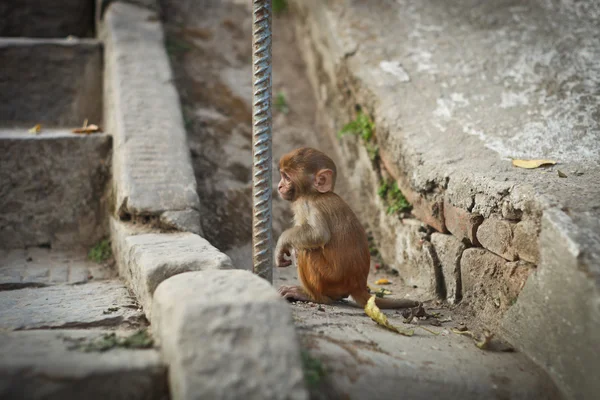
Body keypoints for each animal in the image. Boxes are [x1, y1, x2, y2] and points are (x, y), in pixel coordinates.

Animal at [276, 148, 418, 308]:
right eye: (282, 175)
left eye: (287, 177)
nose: (279, 186)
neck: (314, 193)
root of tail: (358, 285)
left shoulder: (307, 204)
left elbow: (319, 234)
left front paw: (282, 243)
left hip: (330, 279)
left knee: (305, 250)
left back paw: (314, 296)